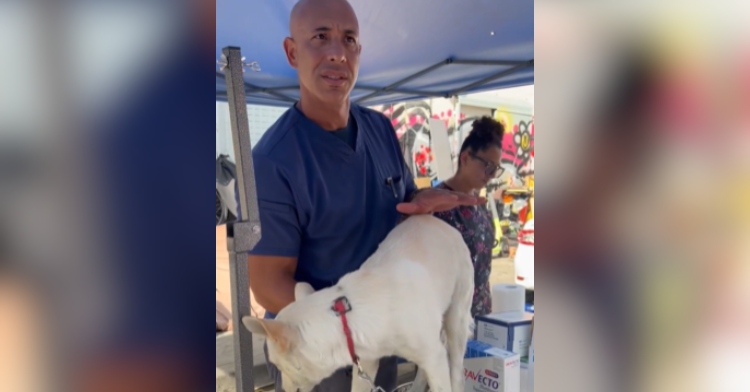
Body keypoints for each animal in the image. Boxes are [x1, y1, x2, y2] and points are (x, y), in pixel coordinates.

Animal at [244, 214, 472, 392]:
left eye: (279, 365)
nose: (283, 389)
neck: (345, 318)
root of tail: (440, 222)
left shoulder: (434, 357)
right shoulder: (366, 362)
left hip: (456, 321)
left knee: (456, 371)